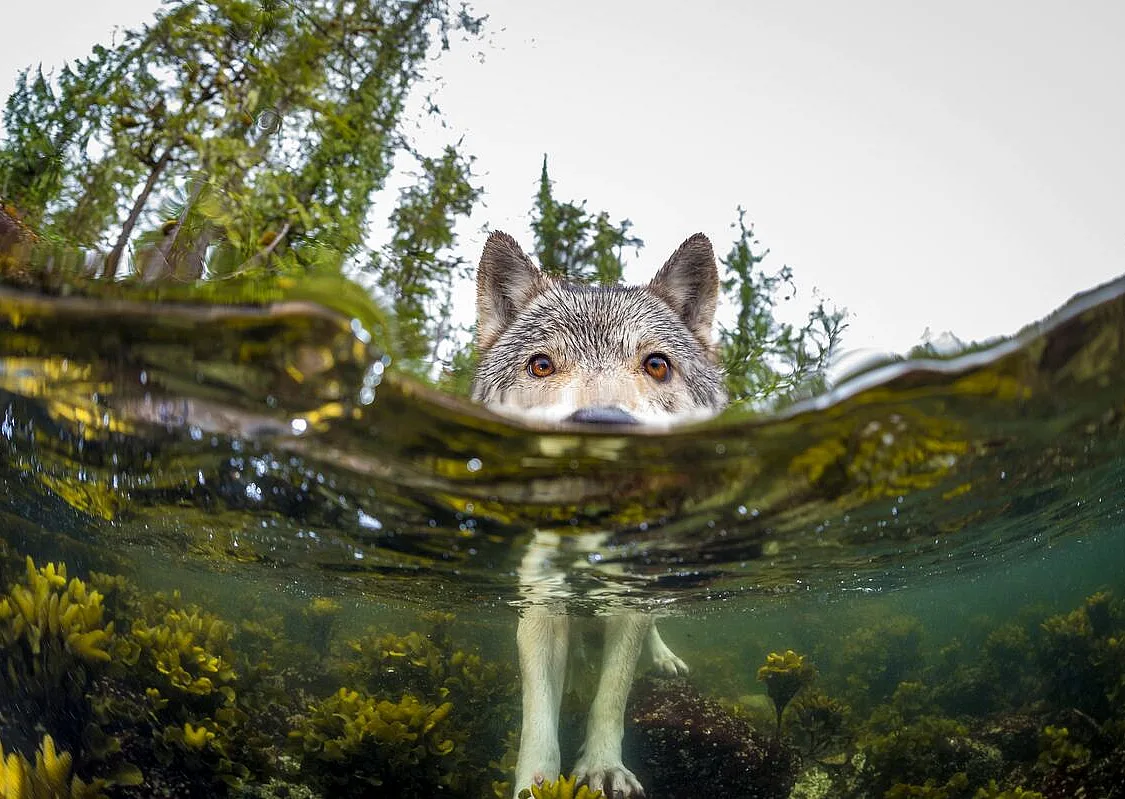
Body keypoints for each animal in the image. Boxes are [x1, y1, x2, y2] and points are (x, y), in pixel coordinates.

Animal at [470, 231, 728, 798]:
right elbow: (538, 716)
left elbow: (611, 695)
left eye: (657, 364)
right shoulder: (541, 604)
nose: (602, 425)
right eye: (542, 365)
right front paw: (536, 784)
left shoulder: (628, 600)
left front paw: (603, 769)